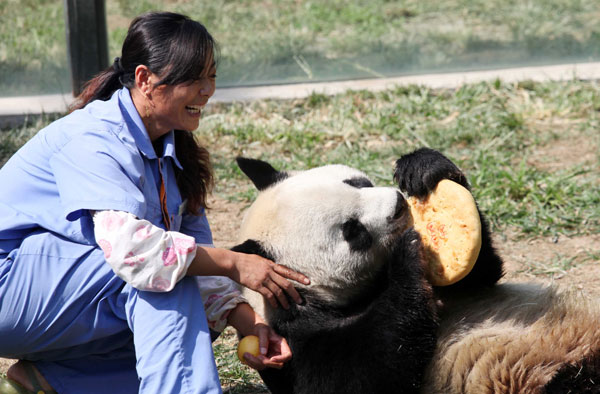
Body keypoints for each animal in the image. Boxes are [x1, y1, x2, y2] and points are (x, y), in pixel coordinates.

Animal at [232, 148, 600, 394]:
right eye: (352, 231)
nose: (398, 203)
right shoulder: (289, 338)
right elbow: (358, 375)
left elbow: (480, 277)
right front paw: (405, 254)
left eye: (357, 182)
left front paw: (423, 167)